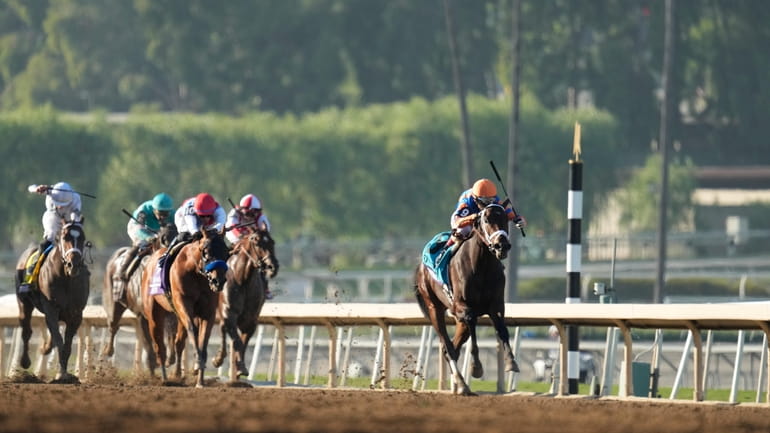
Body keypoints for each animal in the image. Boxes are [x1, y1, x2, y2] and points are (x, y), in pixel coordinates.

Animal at [14, 223, 91, 382]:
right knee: (26, 330)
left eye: (83, 238)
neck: (67, 280)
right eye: (65, 237)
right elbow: (59, 340)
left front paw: (65, 374)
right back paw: (25, 361)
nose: (73, 264)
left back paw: (46, 347)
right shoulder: (51, 308)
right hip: (24, 303)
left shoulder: (76, 315)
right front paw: (61, 374)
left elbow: (66, 345)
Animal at [101, 221, 178, 370]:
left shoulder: (171, 312)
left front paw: (169, 358)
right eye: (163, 239)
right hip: (114, 302)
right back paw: (108, 350)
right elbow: (149, 343)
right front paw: (154, 361)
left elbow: (171, 334)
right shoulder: (143, 316)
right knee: (113, 325)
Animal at [141, 228, 230, 386]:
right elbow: (193, 330)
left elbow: (203, 338)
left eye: (226, 252)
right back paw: (165, 378)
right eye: (205, 251)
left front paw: (200, 379)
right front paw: (197, 362)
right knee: (159, 346)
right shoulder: (183, 304)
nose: (218, 281)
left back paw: (177, 375)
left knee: (178, 342)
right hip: (154, 314)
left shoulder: (208, 312)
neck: (196, 273)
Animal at [212, 228, 278, 380]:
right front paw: (238, 367)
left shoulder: (251, 320)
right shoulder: (229, 313)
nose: (272, 267)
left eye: (272, 242)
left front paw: (239, 369)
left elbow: (242, 342)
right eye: (257, 242)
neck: (242, 279)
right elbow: (236, 340)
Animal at [414, 203, 516, 394]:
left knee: (452, 348)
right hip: (434, 307)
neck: (482, 266)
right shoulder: (463, 307)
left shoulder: (496, 305)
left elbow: (502, 330)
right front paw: (476, 367)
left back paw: (460, 384)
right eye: (486, 219)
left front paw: (511, 362)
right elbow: (472, 326)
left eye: (506, 218)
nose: (502, 246)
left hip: (458, 322)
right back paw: (461, 384)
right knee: (447, 347)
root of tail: (420, 267)